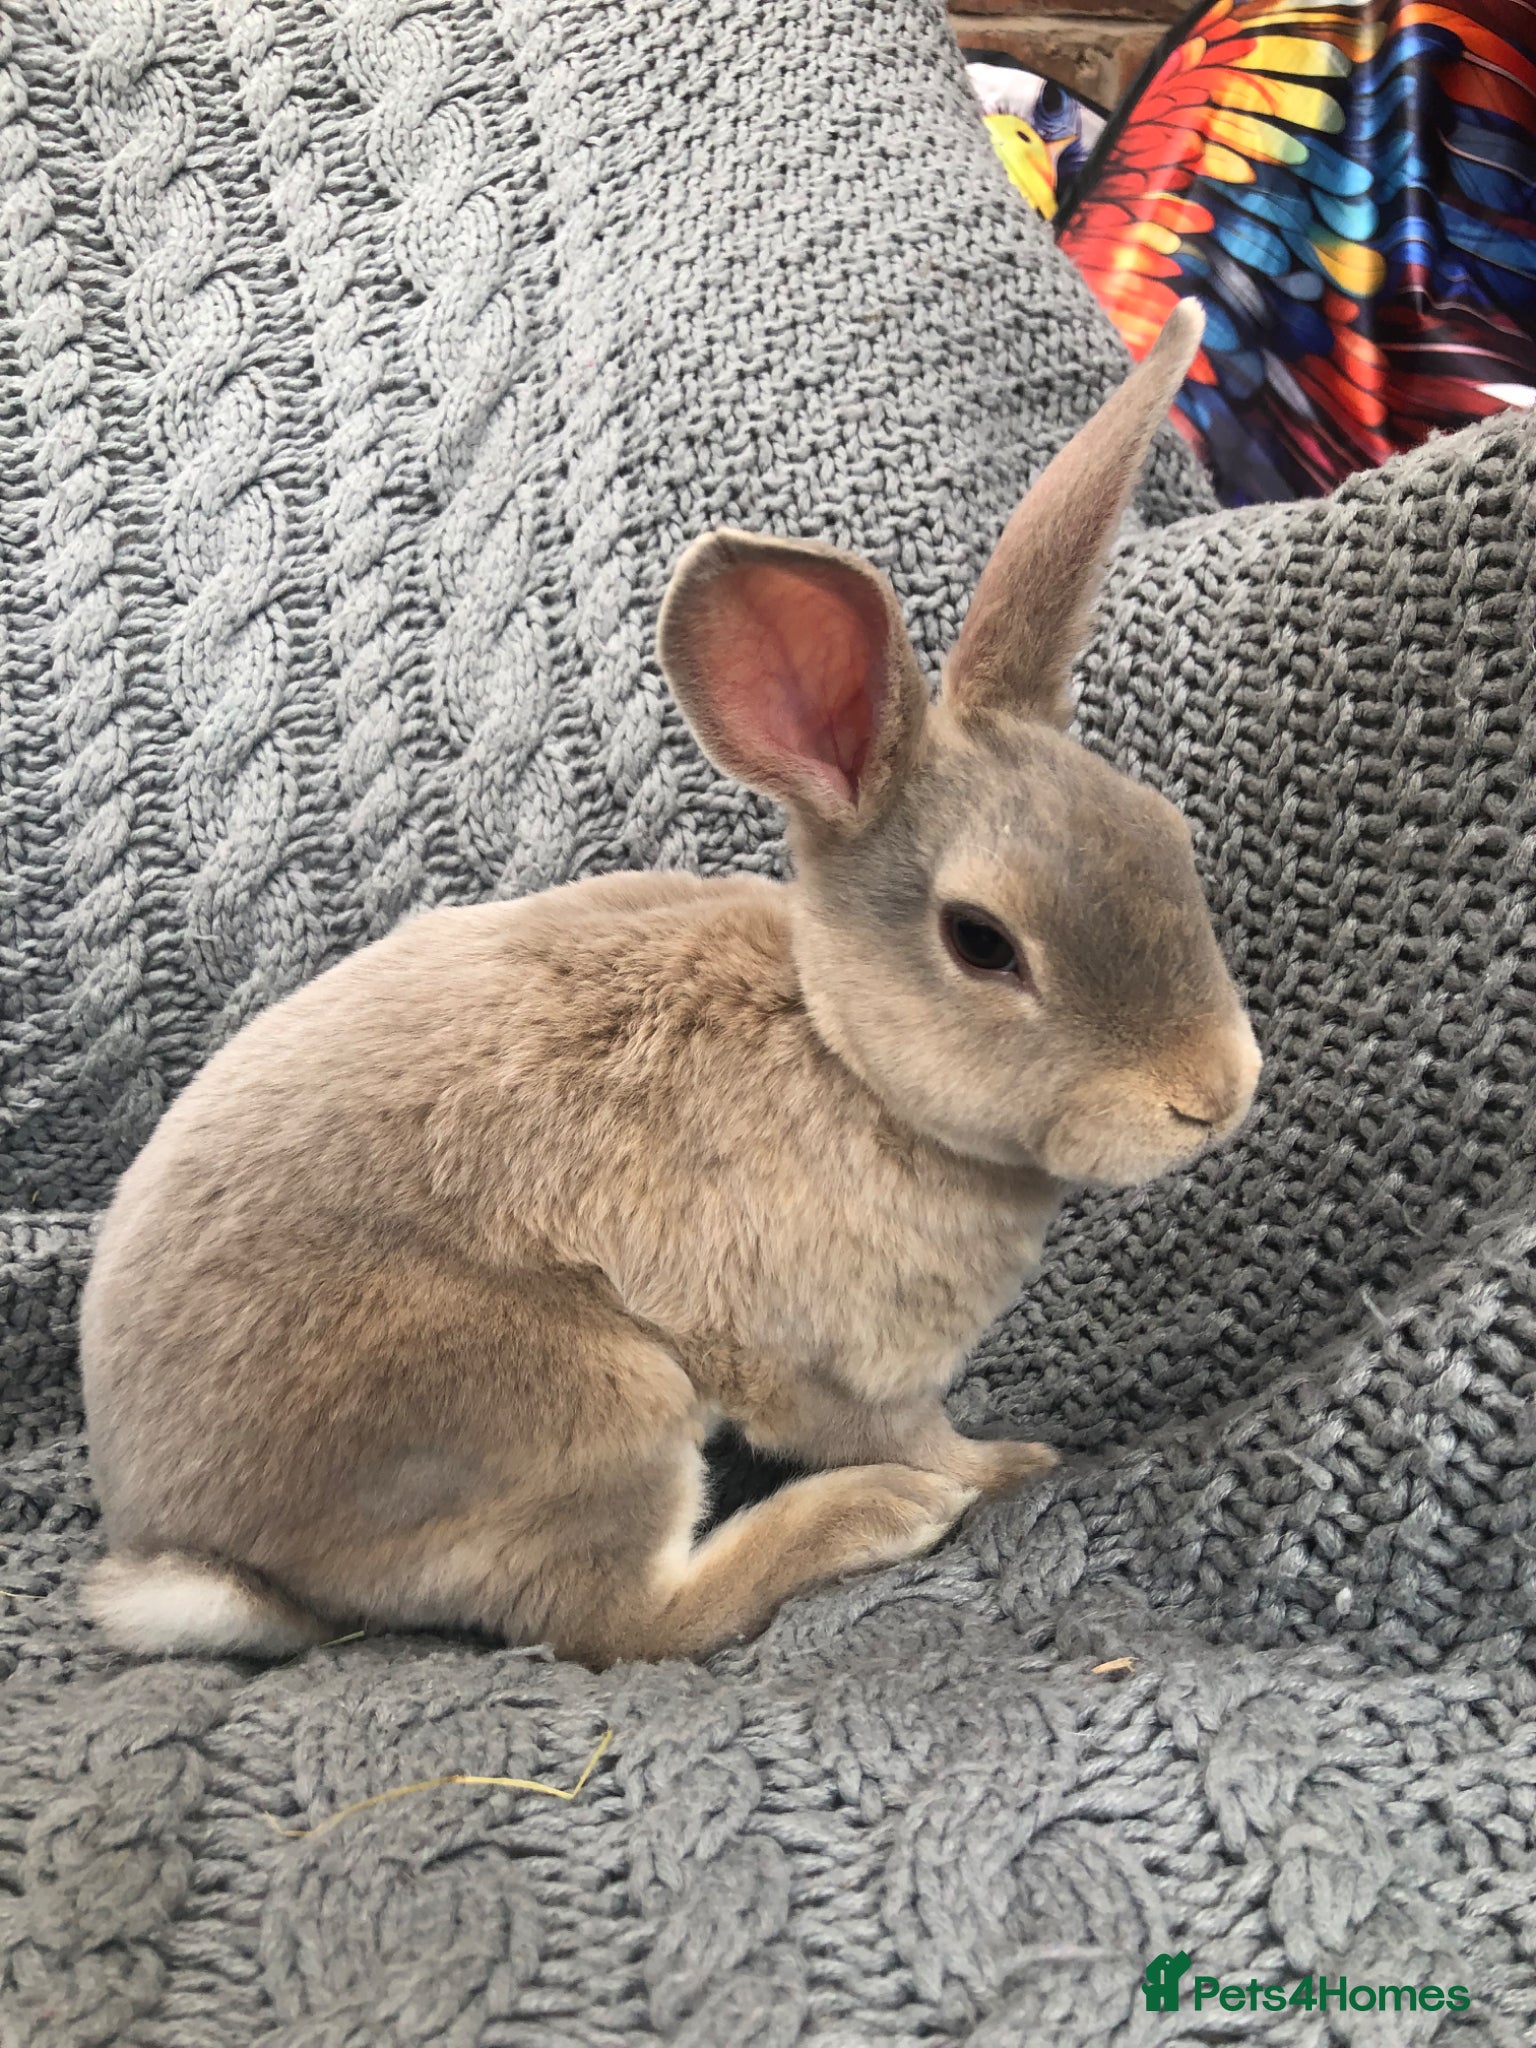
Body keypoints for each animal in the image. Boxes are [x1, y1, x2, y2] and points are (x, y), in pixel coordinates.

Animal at [81, 300, 1260, 1668]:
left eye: (1167, 833)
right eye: (981, 941)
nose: (1216, 1094)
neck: (847, 1057)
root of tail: (214, 1553)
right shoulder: (840, 1363)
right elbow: (914, 1432)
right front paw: (1006, 1464)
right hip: (581, 1394)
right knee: (623, 1620)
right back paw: (870, 1516)